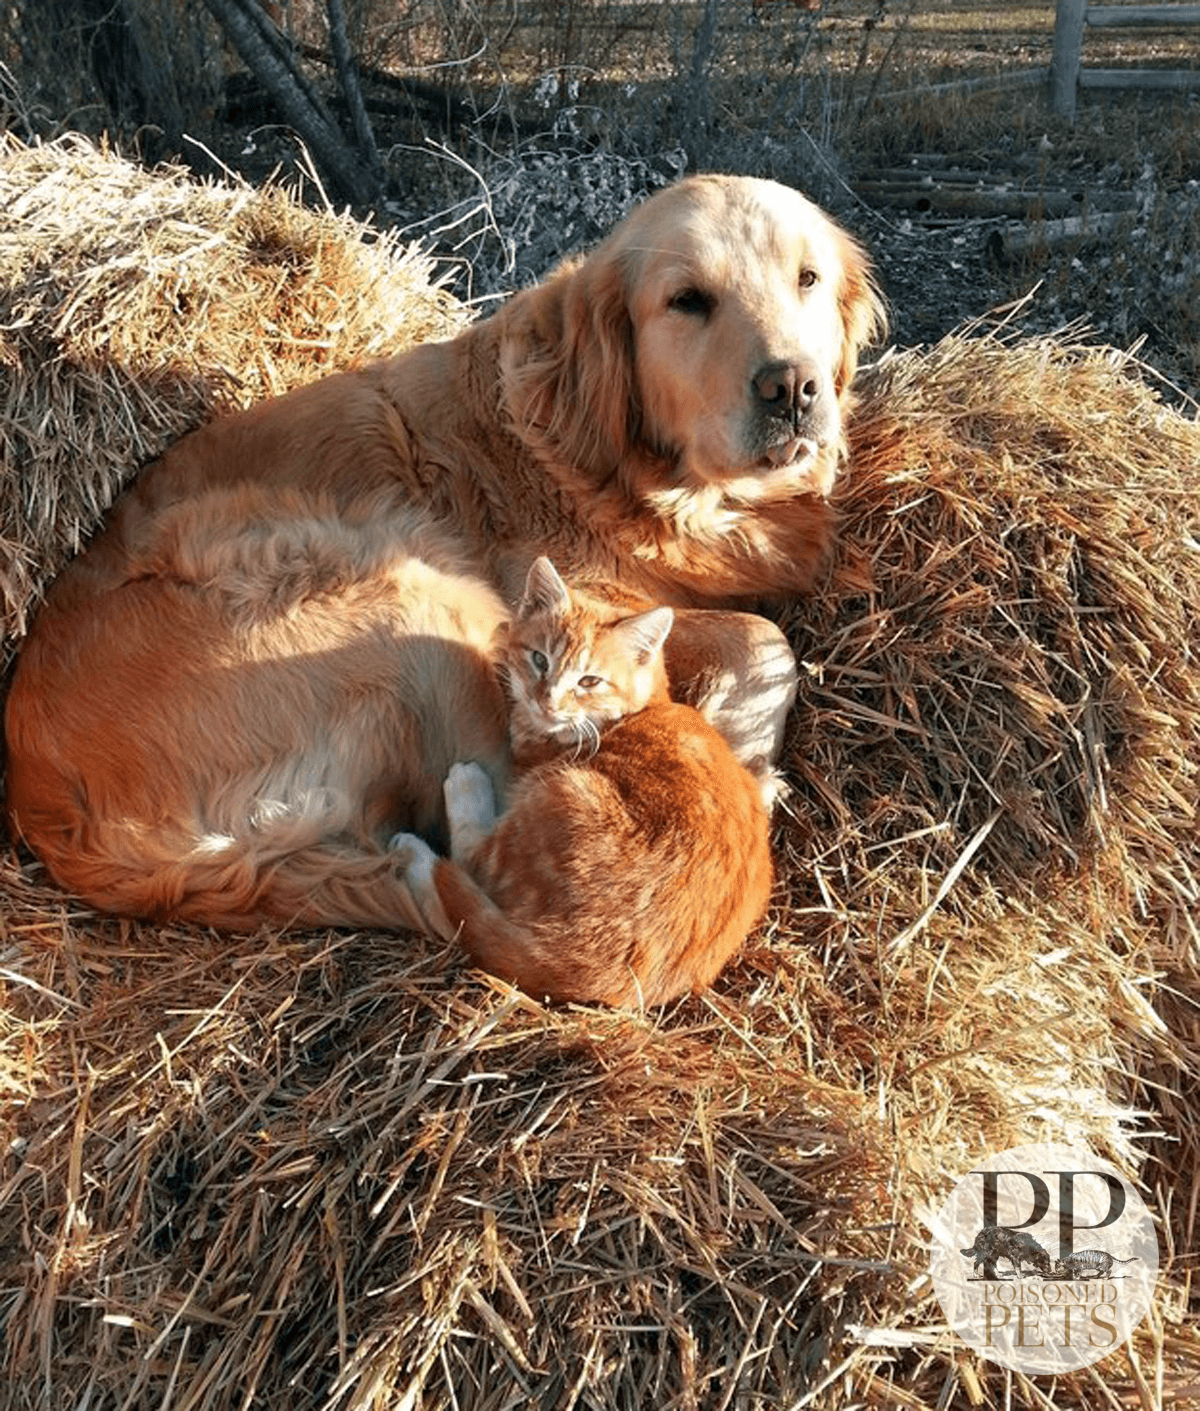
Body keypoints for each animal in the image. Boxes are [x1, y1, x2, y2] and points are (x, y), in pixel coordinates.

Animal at [386, 555, 773, 1010]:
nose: (547, 700)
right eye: (540, 660)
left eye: (589, 681)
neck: (633, 714)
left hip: (559, 796)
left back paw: (434, 825)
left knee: (466, 874)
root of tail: (601, 971)